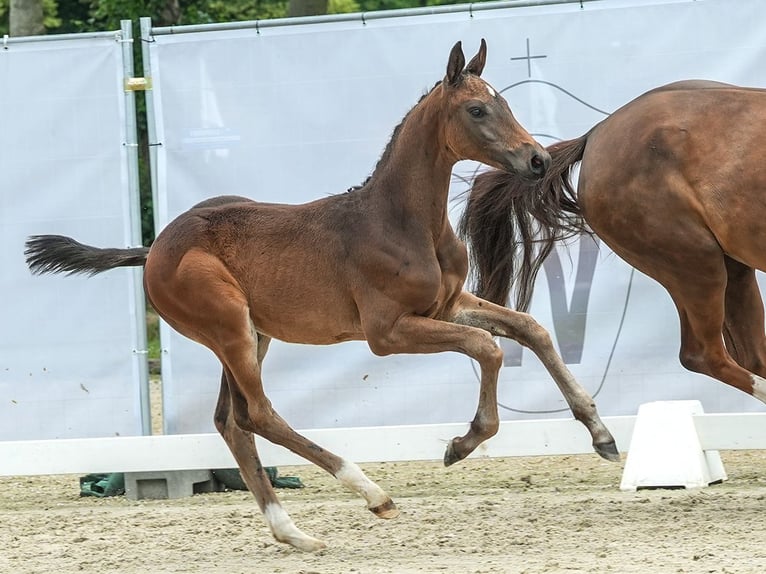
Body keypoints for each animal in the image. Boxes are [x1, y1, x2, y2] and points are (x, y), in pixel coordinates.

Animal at [25, 41, 616, 552]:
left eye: (505, 102)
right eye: (476, 109)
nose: (538, 161)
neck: (401, 221)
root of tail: (154, 251)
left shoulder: (446, 306)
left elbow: (529, 329)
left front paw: (601, 433)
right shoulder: (387, 332)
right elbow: (488, 350)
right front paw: (462, 443)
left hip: (251, 334)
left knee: (231, 421)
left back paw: (293, 533)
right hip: (229, 328)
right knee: (259, 414)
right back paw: (371, 492)